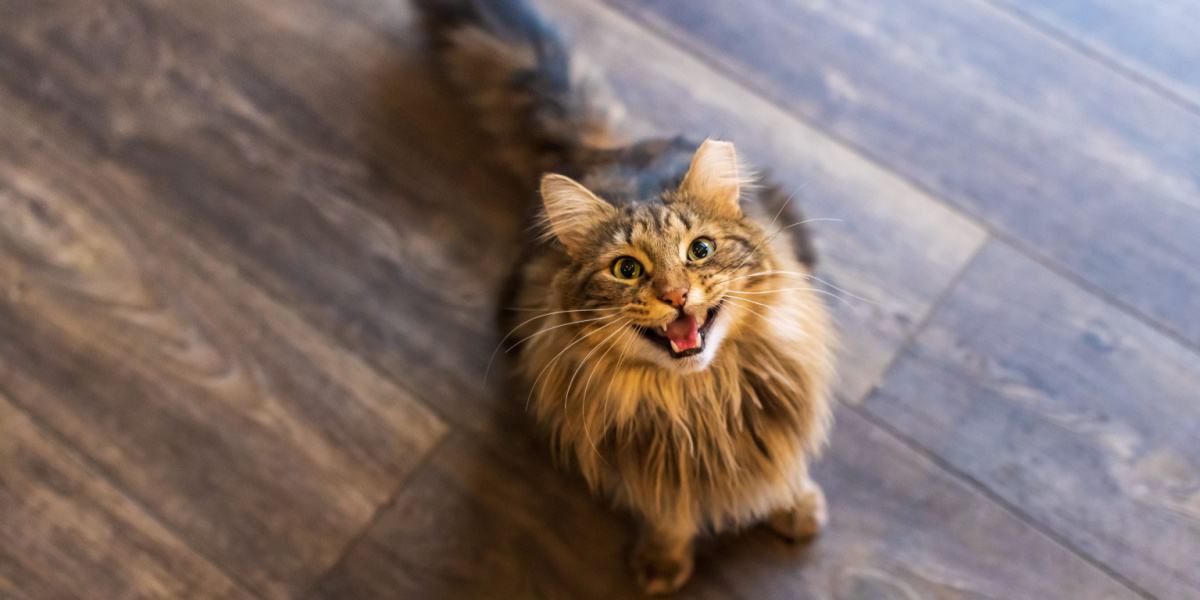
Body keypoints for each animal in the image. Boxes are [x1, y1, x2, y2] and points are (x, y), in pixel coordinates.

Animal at [420, 0, 835, 592]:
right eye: (627, 269)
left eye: (700, 251)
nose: (678, 294)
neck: (702, 402)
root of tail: (608, 148)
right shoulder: (643, 469)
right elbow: (668, 512)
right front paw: (663, 561)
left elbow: (787, 466)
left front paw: (796, 507)